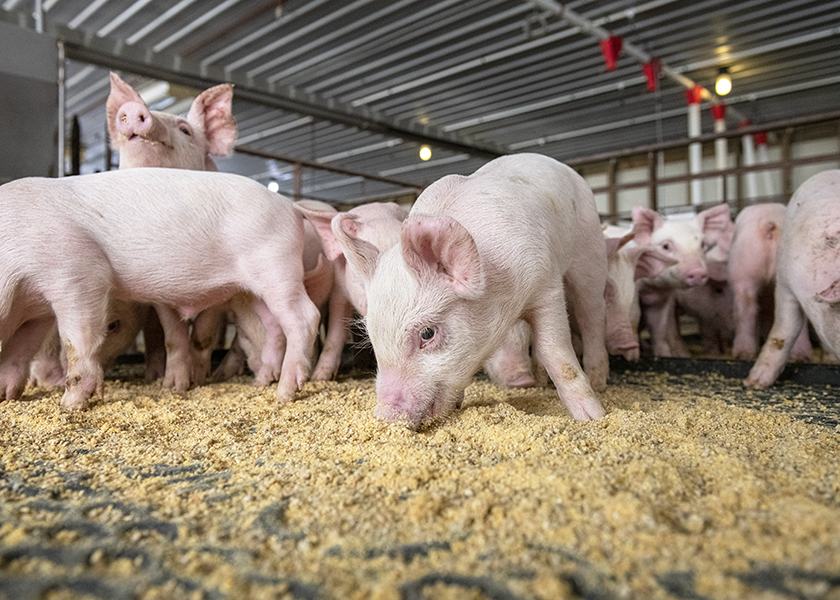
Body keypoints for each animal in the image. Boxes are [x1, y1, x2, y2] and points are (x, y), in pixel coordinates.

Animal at [0, 168, 319, 409]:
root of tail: (290, 206)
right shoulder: (36, 311)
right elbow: (19, 350)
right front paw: (6, 395)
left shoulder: (78, 272)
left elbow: (76, 339)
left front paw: (69, 405)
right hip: (253, 291)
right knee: (273, 326)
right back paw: (262, 381)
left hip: (277, 267)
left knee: (305, 317)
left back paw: (284, 394)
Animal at [331, 153, 608, 427]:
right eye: (371, 334)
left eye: (427, 333)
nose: (384, 414)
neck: (503, 290)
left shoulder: (546, 286)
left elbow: (555, 352)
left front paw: (592, 417)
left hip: (590, 252)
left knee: (592, 315)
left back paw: (598, 383)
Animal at [632, 204, 732, 357]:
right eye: (666, 246)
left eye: (702, 245)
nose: (697, 272)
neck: (651, 285)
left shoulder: (663, 298)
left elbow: (660, 330)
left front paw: (666, 356)